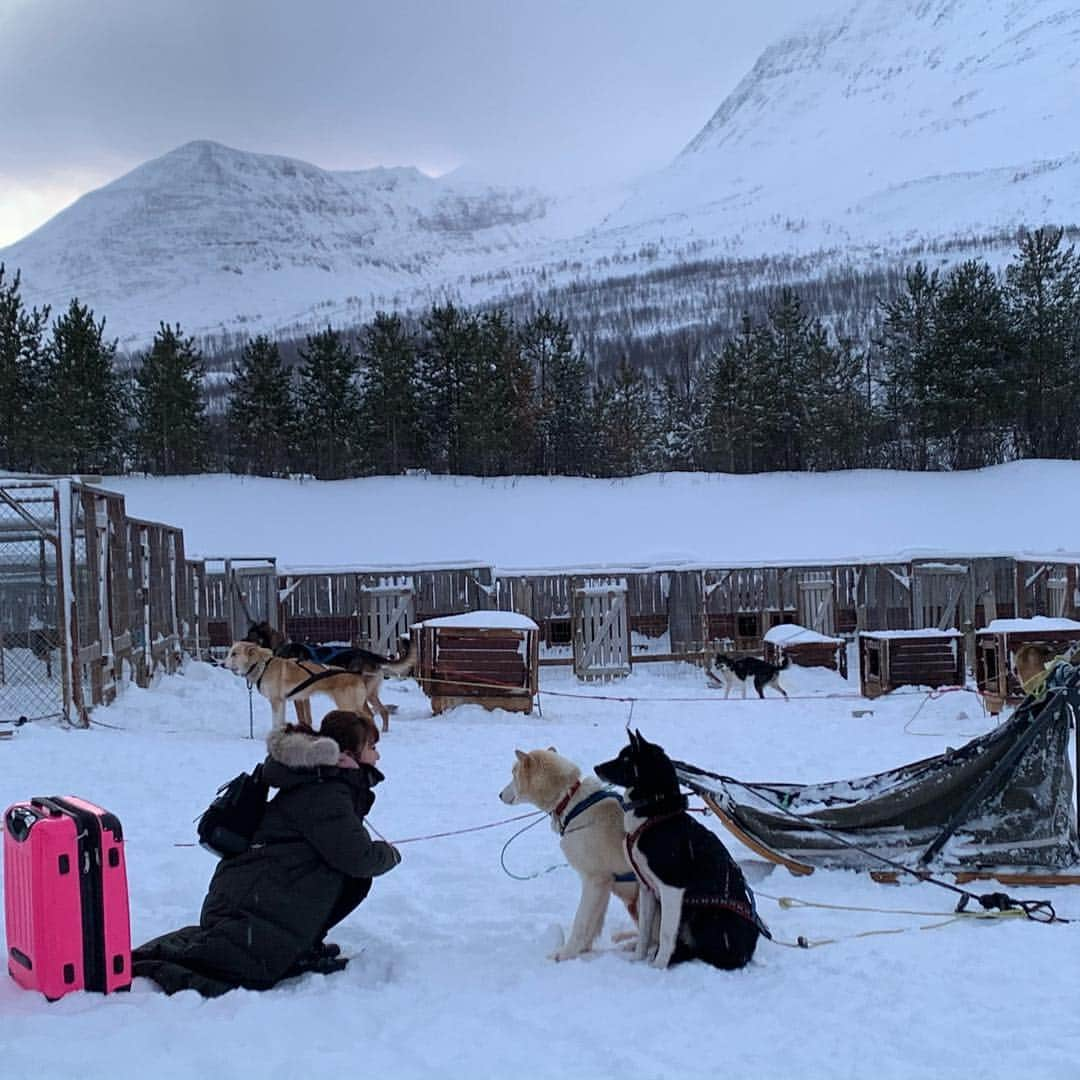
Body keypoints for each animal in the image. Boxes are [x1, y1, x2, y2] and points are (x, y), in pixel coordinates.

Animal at [221, 639, 378, 734]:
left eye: (234, 654)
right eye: (229, 653)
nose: (221, 664)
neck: (262, 665)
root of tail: (356, 674)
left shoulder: (276, 702)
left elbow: (276, 722)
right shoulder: (283, 702)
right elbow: (280, 721)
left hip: (348, 705)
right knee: (370, 715)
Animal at [498, 751, 635, 963]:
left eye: (513, 773)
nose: (499, 794)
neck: (571, 802)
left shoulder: (595, 880)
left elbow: (581, 921)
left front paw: (566, 953)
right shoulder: (604, 884)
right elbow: (592, 922)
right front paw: (583, 949)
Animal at [591, 730, 768, 967]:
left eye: (626, 759)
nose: (596, 768)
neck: (655, 817)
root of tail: (748, 952)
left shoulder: (672, 889)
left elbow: (665, 934)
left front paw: (658, 967)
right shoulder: (647, 888)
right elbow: (645, 932)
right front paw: (637, 959)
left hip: (704, 915)